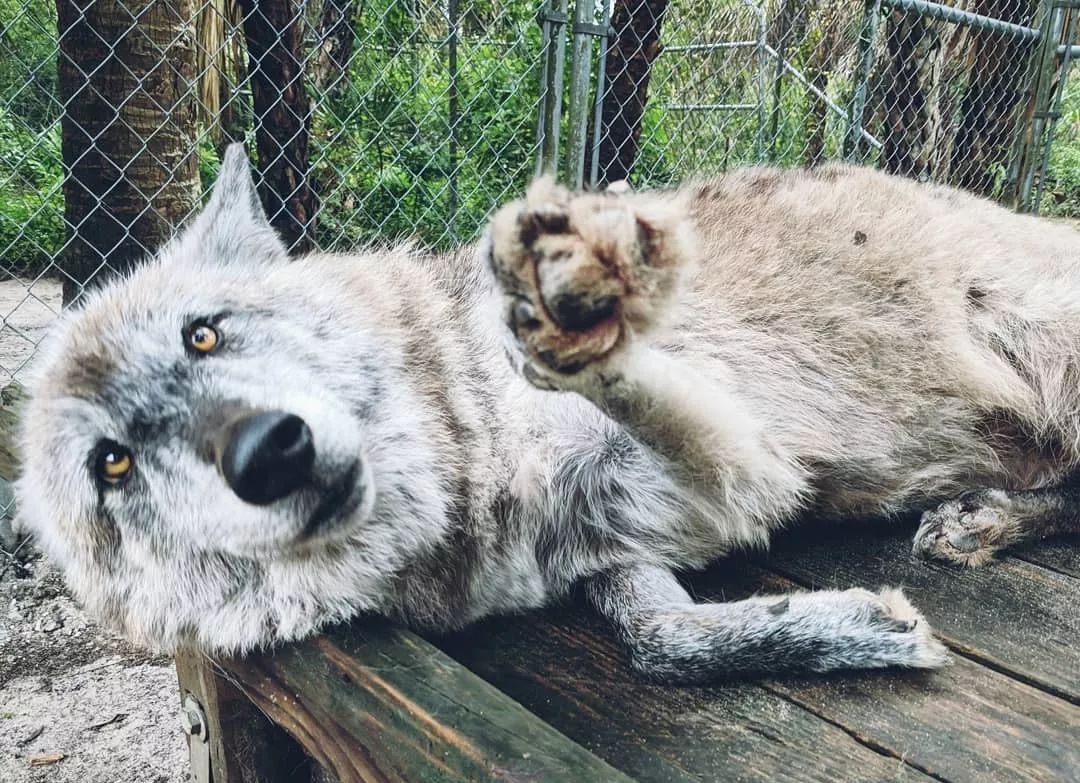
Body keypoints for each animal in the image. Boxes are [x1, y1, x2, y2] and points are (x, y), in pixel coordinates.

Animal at [14, 143, 1080, 682]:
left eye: (203, 334)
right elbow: (664, 645)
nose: (269, 451)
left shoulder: (746, 460)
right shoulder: (633, 544)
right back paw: (979, 519)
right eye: (112, 464)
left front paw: (567, 298)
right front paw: (849, 627)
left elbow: (606, 364)